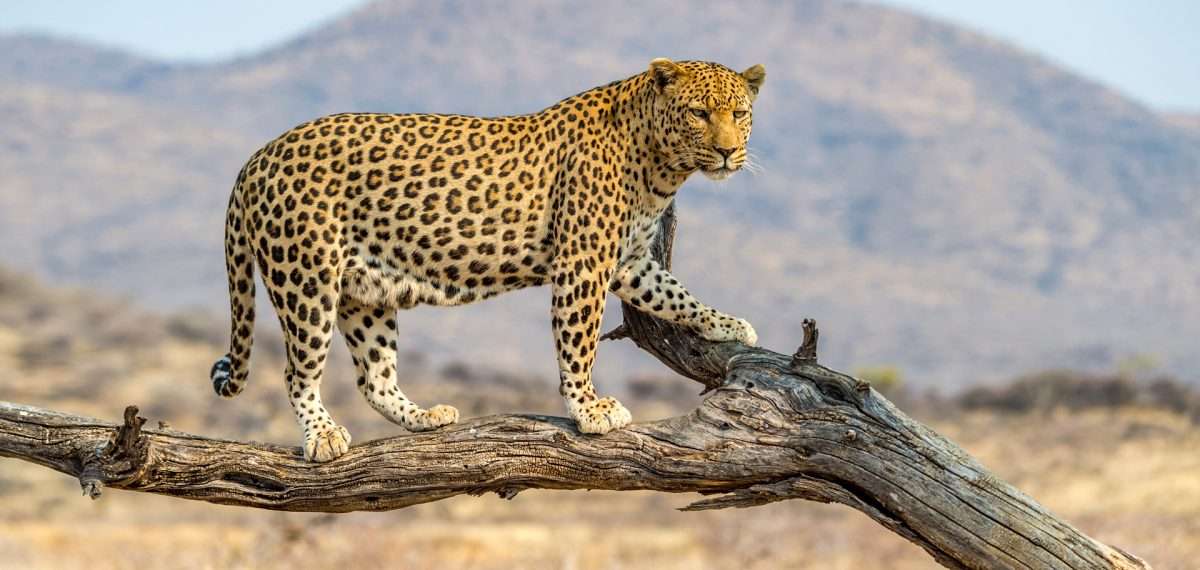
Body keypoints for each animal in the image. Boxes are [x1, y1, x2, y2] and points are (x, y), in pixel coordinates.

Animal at [209, 58, 765, 462]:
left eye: (738, 114)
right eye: (698, 113)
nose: (727, 152)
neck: (661, 167)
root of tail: (256, 157)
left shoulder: (628, 262)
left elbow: (676, 294)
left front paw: (728, 324)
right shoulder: (583, 262)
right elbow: (579, 343)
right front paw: (588, 408)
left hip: (364, 293)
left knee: (375, 378)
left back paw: (424, 417)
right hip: (306, 278)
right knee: (297, 373)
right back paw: (322, 437)